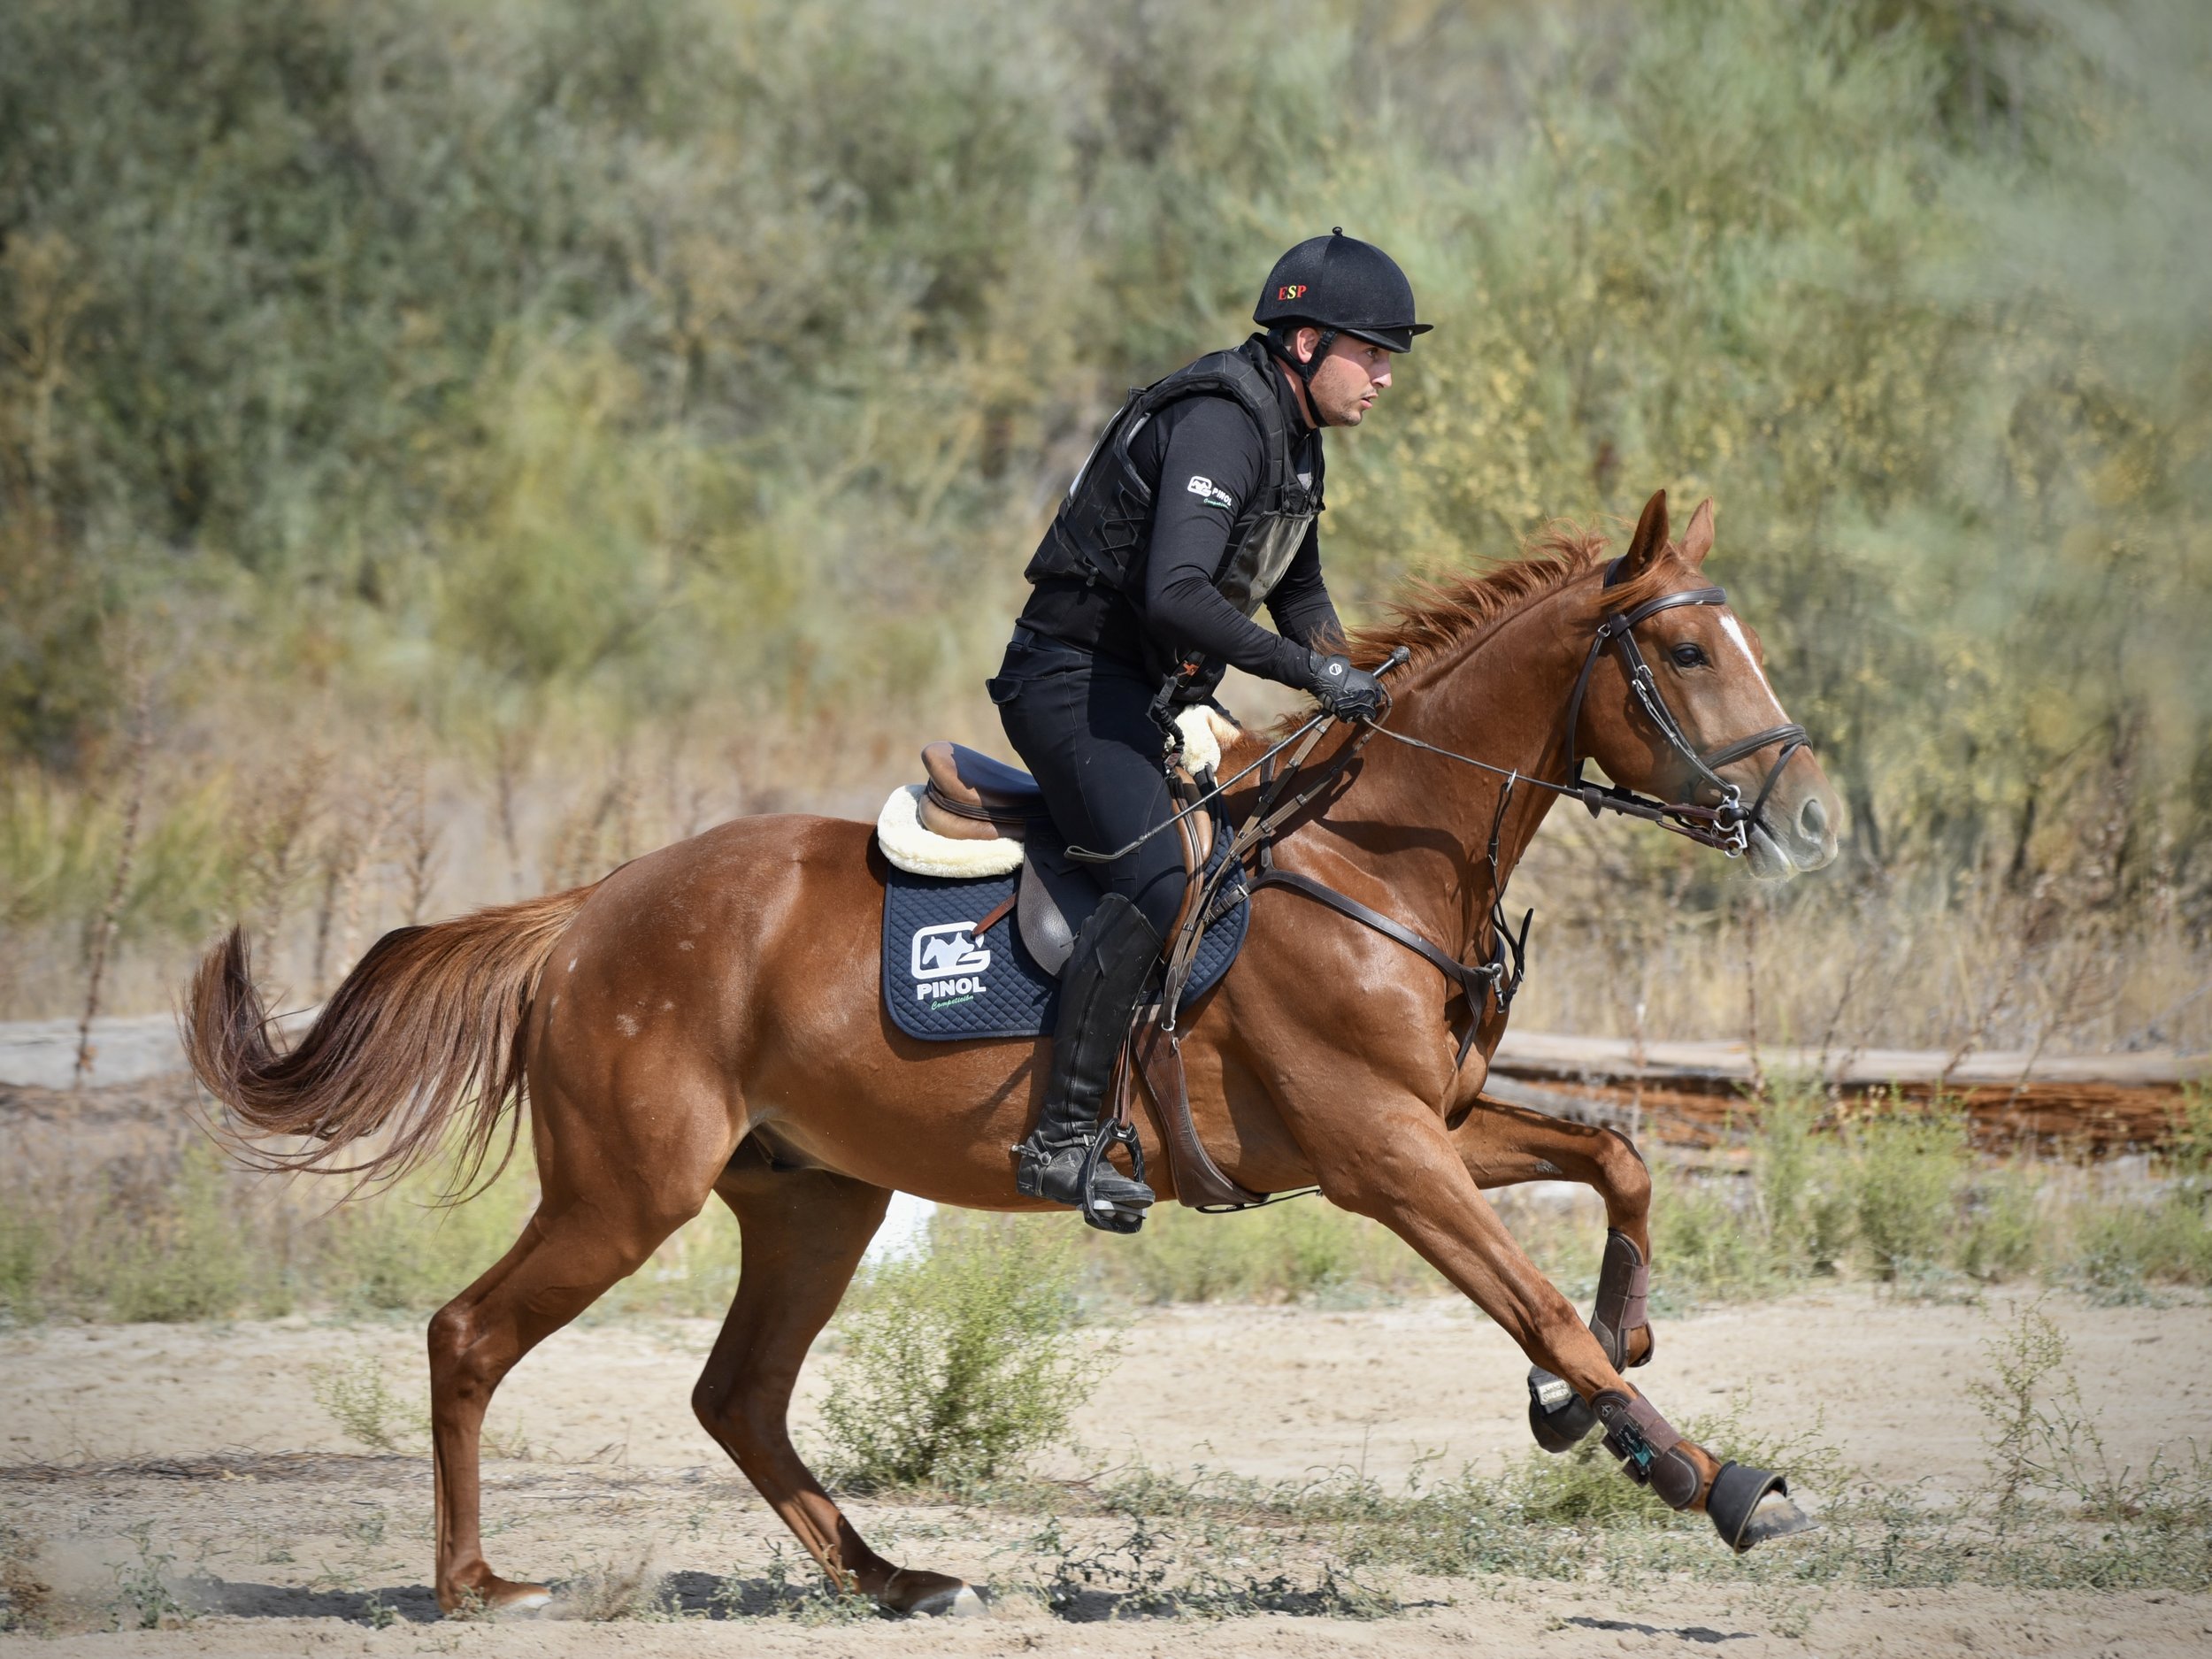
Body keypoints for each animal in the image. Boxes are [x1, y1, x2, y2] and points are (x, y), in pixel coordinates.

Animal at [184, 489, 1841, 1617]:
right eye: (1685, 648)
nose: (1814, 821)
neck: (1373, 855)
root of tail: (588, 909)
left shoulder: (1433, 1118)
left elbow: (1619, 1160)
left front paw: (1598, 1388)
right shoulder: (1382, 1152)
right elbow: (1540, 1300)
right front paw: (1712, 1480)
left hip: (812, 1195)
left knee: (739, 1395)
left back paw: (896, 1579)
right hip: (625, 1190)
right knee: (471, 1336)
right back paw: (476, 1582)